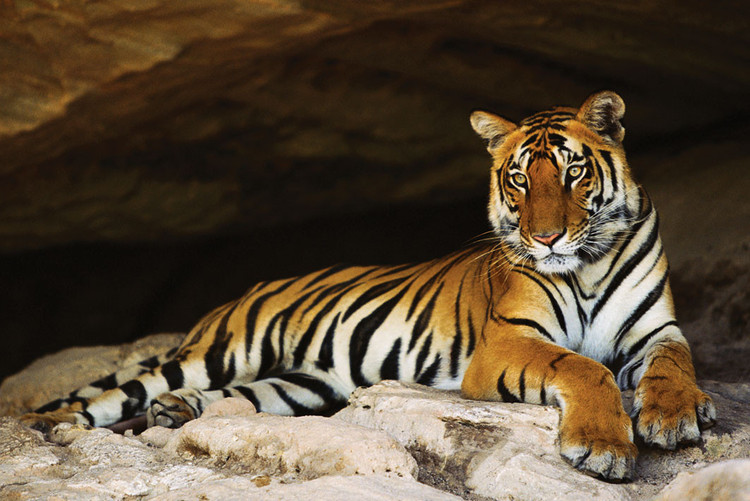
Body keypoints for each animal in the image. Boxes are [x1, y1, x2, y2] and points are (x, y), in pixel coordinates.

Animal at [20, 91, 715, 481]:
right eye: (519, 179)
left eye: (573, 172)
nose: (545, 239)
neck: (588, 261)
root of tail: (242, 291)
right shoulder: (508, 343)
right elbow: (582, 367)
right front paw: (604, 448)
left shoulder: (657, 329)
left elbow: (674, 363)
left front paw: (678, 413)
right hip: (219, 352)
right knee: (107, 396)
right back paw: (54, 426)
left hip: (301, 384)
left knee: (234, 399)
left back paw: (177, 412)